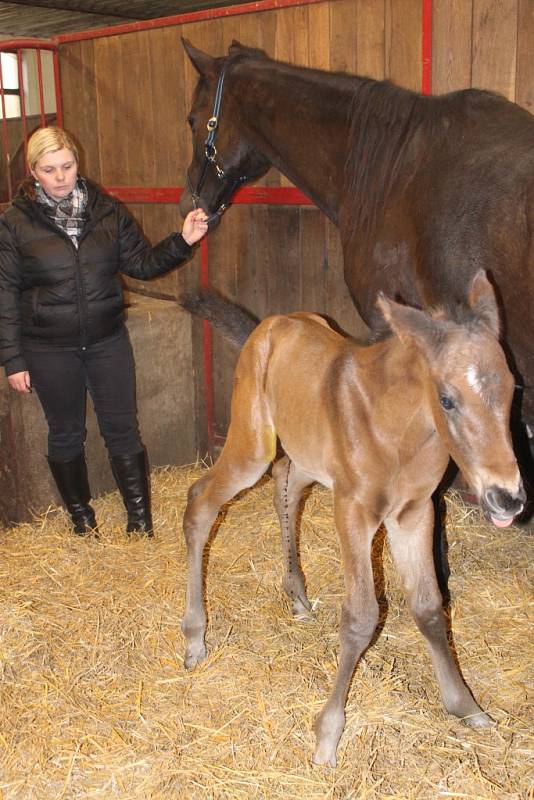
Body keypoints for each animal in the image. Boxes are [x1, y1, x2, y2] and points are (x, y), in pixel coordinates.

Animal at [182, 272, 524, 764]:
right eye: (447, 399)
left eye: (514, 389)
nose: (507, 498)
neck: (398, 430)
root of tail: (268, 326)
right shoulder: (354, 511)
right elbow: (363, 616)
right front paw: (327, 734)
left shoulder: (414, 512)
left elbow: (429, 606)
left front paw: (465, 706)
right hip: (251, 444)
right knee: (202, 502)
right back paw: (195, 638)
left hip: (307, 455)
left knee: (287, 484)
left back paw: (297, 595)